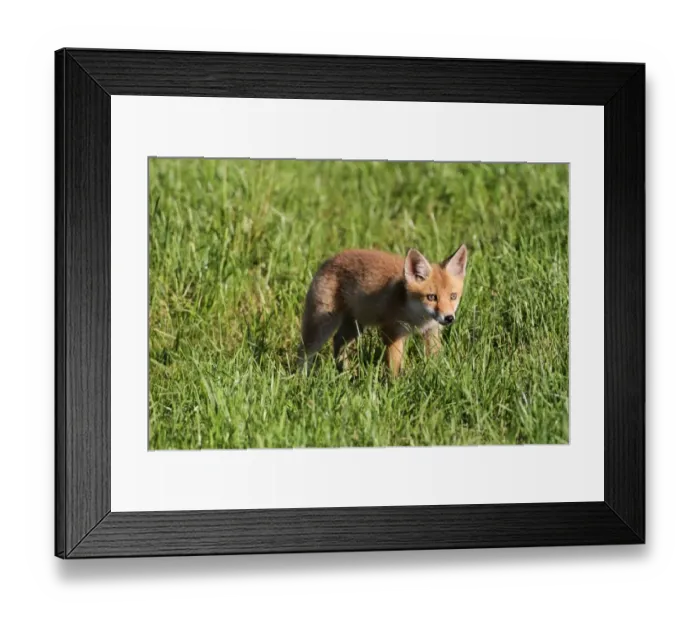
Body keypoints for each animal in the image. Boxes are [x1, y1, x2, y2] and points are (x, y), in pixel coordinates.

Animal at [298, 244, 468, 376]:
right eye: (431, 297)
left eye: (453, 296)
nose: (449, 318)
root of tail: (331, 258)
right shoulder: (392, 332)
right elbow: (394, 366)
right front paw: (395, 386)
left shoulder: (431, 331)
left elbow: (434, 358)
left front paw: (435, 375)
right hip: (322, 325)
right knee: (304, 351)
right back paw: (302, 379)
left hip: (356, 326)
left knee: (338, 340)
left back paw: (344, 372)